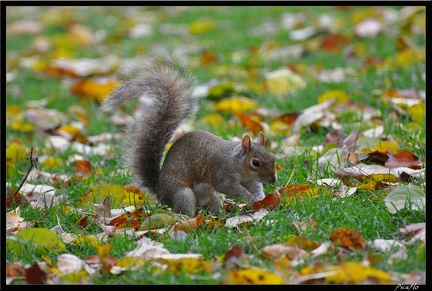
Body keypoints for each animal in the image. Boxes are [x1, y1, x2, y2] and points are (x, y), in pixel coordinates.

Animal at [100, 56, 276, 218]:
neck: (239, 165)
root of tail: (161, 192)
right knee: (184, 211)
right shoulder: (221, 172)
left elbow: (255, 187)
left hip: (212, 197)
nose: (273, 180)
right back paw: (188, 219)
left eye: (273, 158)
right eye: (255, 163)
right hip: (182, 194)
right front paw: (249, 197)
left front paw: (260, 199)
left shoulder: (249, 180)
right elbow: (231, 188)